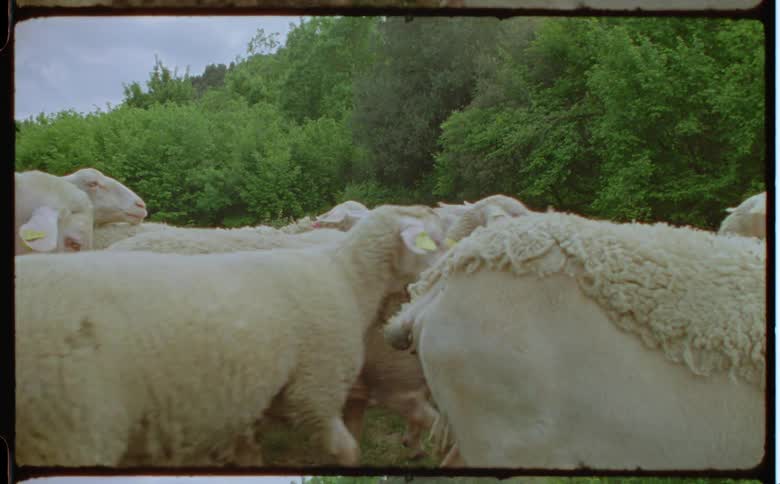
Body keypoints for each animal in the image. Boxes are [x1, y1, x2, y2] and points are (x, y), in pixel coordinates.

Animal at [15, 204, 449, 467]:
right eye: (433, 241)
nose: (446, 272)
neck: (344, 273)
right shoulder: (320, 387)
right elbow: (352, 442)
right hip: (78, 426)